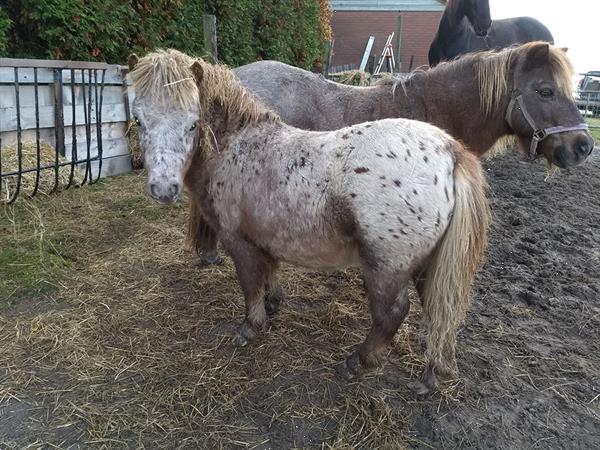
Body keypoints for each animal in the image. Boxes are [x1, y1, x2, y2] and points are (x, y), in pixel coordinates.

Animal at [129, 50, 490, 394]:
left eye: (193, 124)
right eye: (139, 120)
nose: (163, 189)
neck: (238, 146)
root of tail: (449, 151)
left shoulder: (238, 242)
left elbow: (249, 284)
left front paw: (251, 327)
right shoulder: (264, 238)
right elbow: (269, 274)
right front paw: (273, 304)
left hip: (386, 267)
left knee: (392, 313)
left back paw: (358, 362)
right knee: (440, 309)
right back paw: (432, 374)